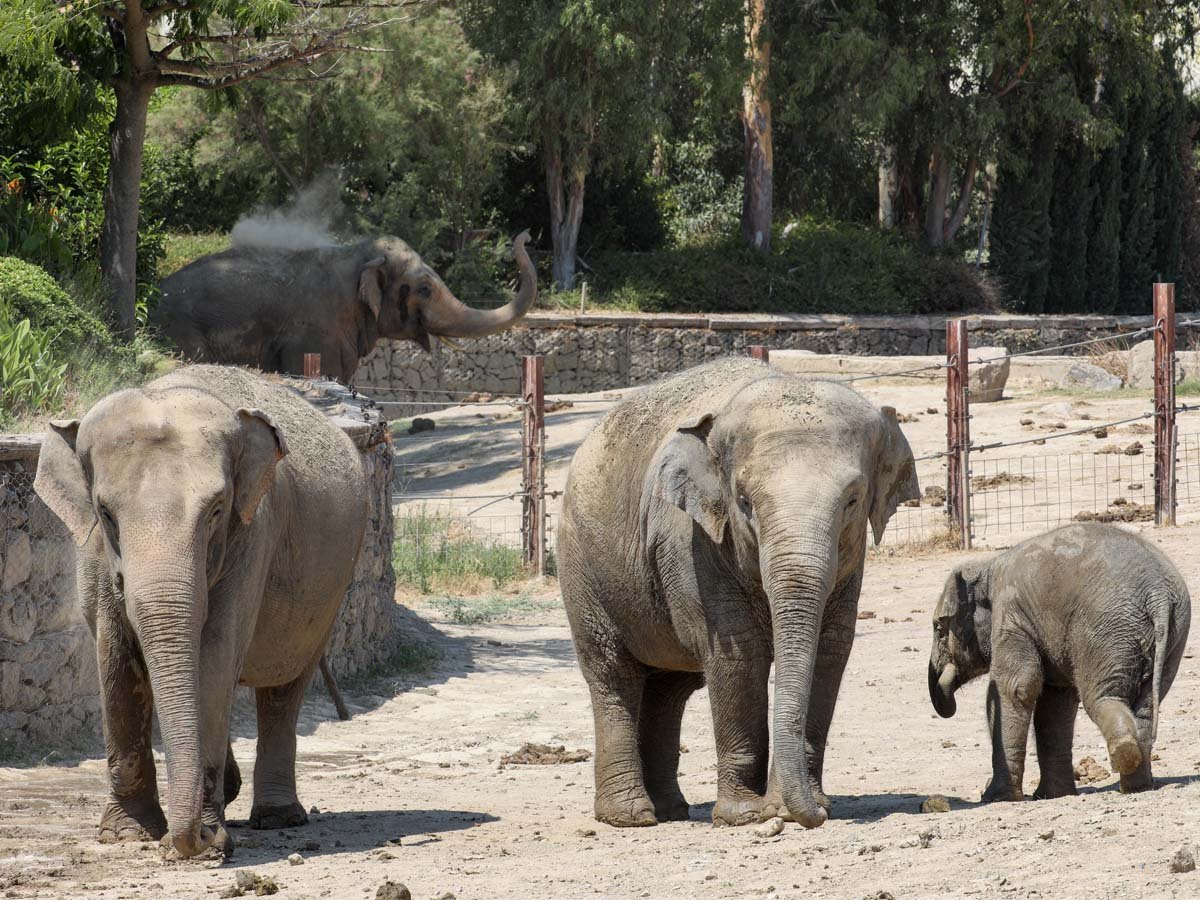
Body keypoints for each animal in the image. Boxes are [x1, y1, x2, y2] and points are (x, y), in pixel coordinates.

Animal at [33, 364, 369, 858]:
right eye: (105, 513)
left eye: (215, 510)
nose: (196, 839)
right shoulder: (93, 551)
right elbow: (115, 656)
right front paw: (127, 834)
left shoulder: (252, 536)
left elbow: (216, 651)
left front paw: (209, 841)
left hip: (332, 585)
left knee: (284, 686)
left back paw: (277, 817)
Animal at [557, 357, 920, 829]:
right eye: (744, 501)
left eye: (853, 501)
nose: (816, 815)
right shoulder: (690, 539)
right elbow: (739, 653)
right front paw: (746, 815)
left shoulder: (851, 564)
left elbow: (830, 648)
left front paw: (795, 806)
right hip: (580, 565)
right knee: (613, 673)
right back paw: (631, 817)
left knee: (668, 688)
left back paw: (671, 811)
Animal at [928, 522, 1191, 801]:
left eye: (939, 628)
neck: (987, 567)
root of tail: (1158, 594)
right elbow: (1055, 701)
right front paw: (1053, 795)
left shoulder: (1011, 615)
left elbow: (1016, 688)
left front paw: (996, 797)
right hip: (1171, 635)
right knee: (1146, 706)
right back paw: (1136, 786)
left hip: (1105, 630)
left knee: (1098, 698)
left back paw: (1124, 755)